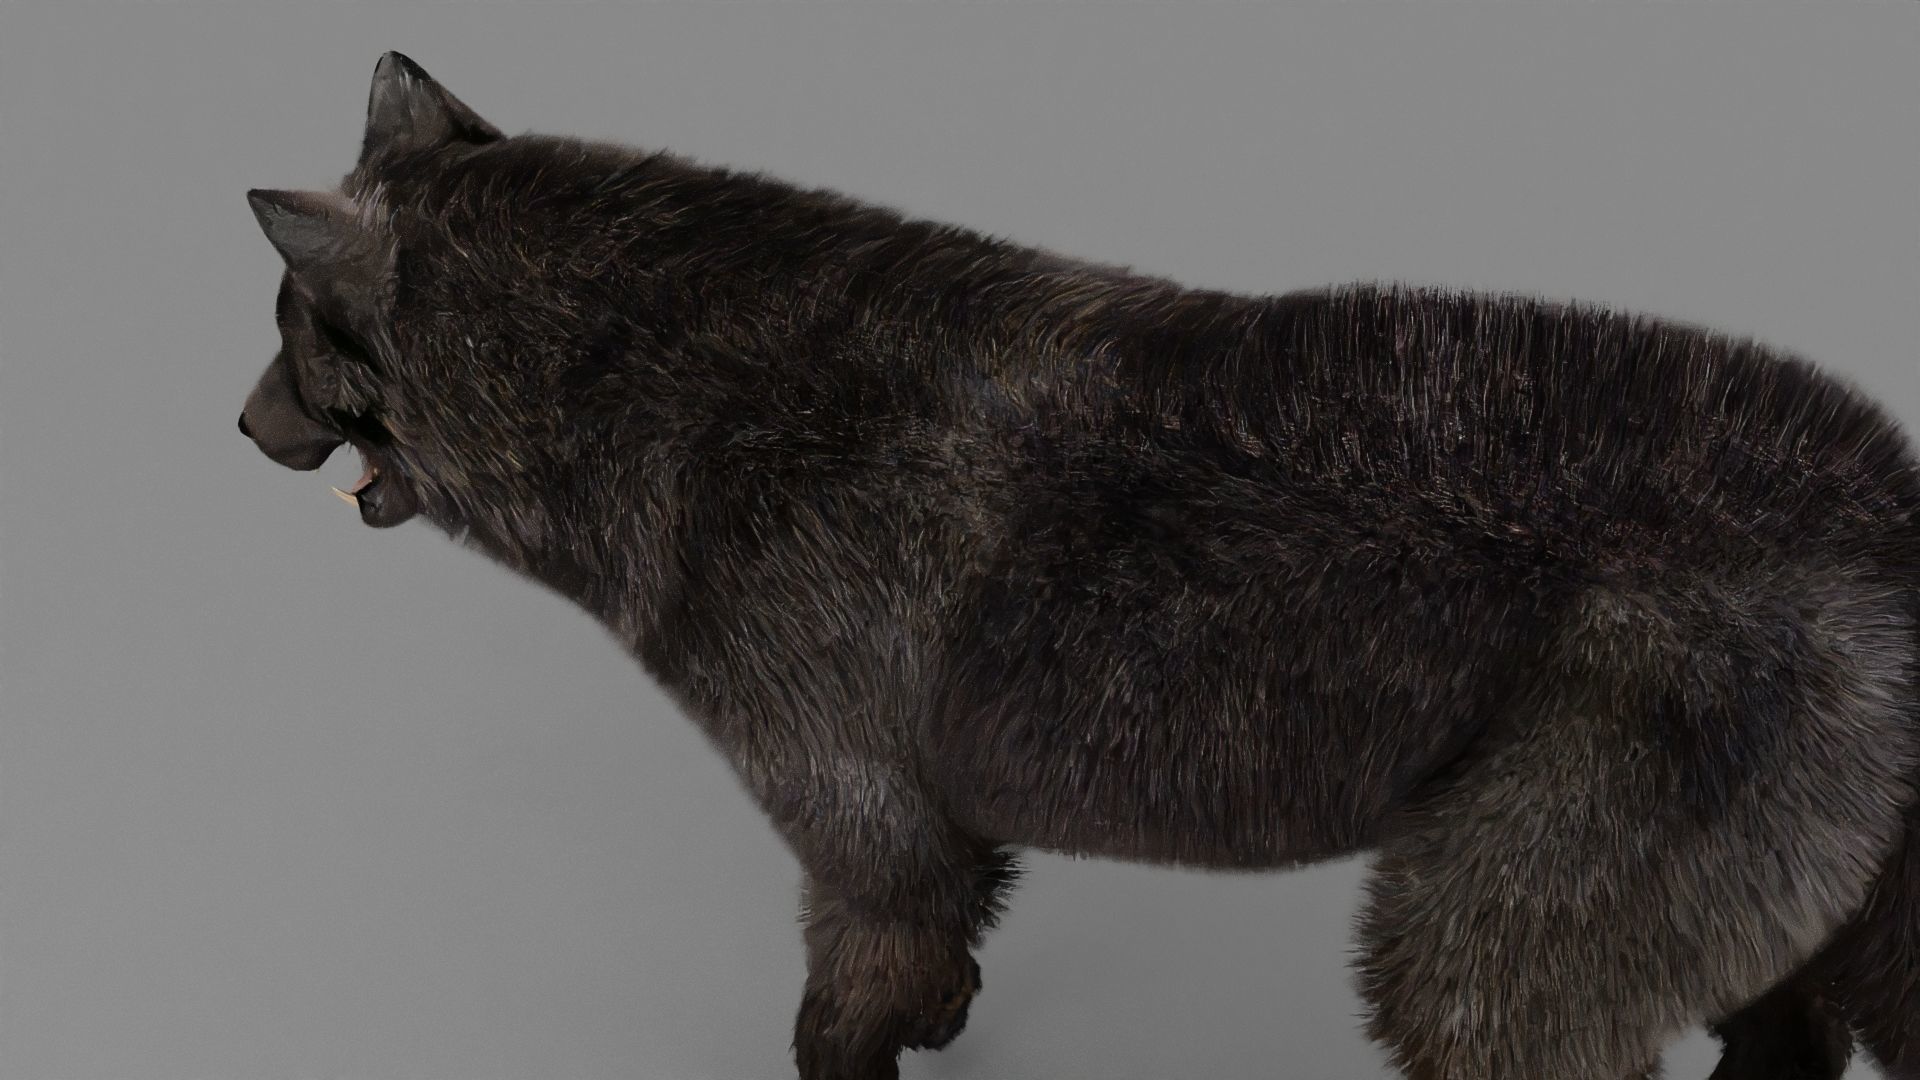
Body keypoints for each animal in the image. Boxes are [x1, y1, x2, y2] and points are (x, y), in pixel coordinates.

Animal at [237, 53, 1920, 1080]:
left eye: (284, 335)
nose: (238, 428)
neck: (676, 401)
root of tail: (1887, 512)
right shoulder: (932, 839)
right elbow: (939, 957)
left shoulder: (860, 829)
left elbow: (838, 1010)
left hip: (1474, 959)